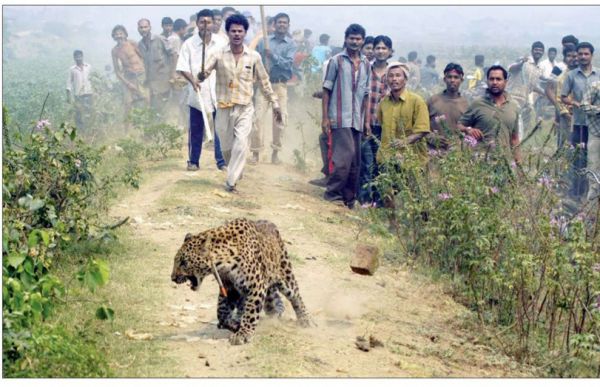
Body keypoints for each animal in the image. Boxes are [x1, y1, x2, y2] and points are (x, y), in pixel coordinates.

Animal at [168, 218, 310, 346]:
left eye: (184, 262)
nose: (173, 277)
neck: (223, 261)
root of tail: (271, 224)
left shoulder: (256, 286)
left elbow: (251, 311)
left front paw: (243, 334)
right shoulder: (229, 288)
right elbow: (221, 313)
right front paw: (234, 325)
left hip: (285, 274)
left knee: (296, 297)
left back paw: (306, 321)